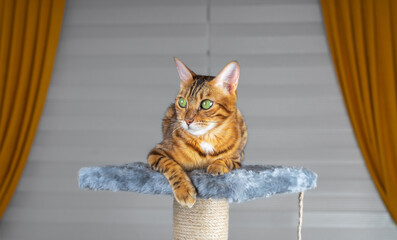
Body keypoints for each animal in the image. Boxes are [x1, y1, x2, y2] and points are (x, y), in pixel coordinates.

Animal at [147, 58, 246, 208]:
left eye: (206, 104)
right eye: (182, 102)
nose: (187, 120)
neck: (206, 137)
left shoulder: (238, 159)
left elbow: (227, 160)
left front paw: (218, 165)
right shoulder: (156, 152)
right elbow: (170, 165)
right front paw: (184, 190)